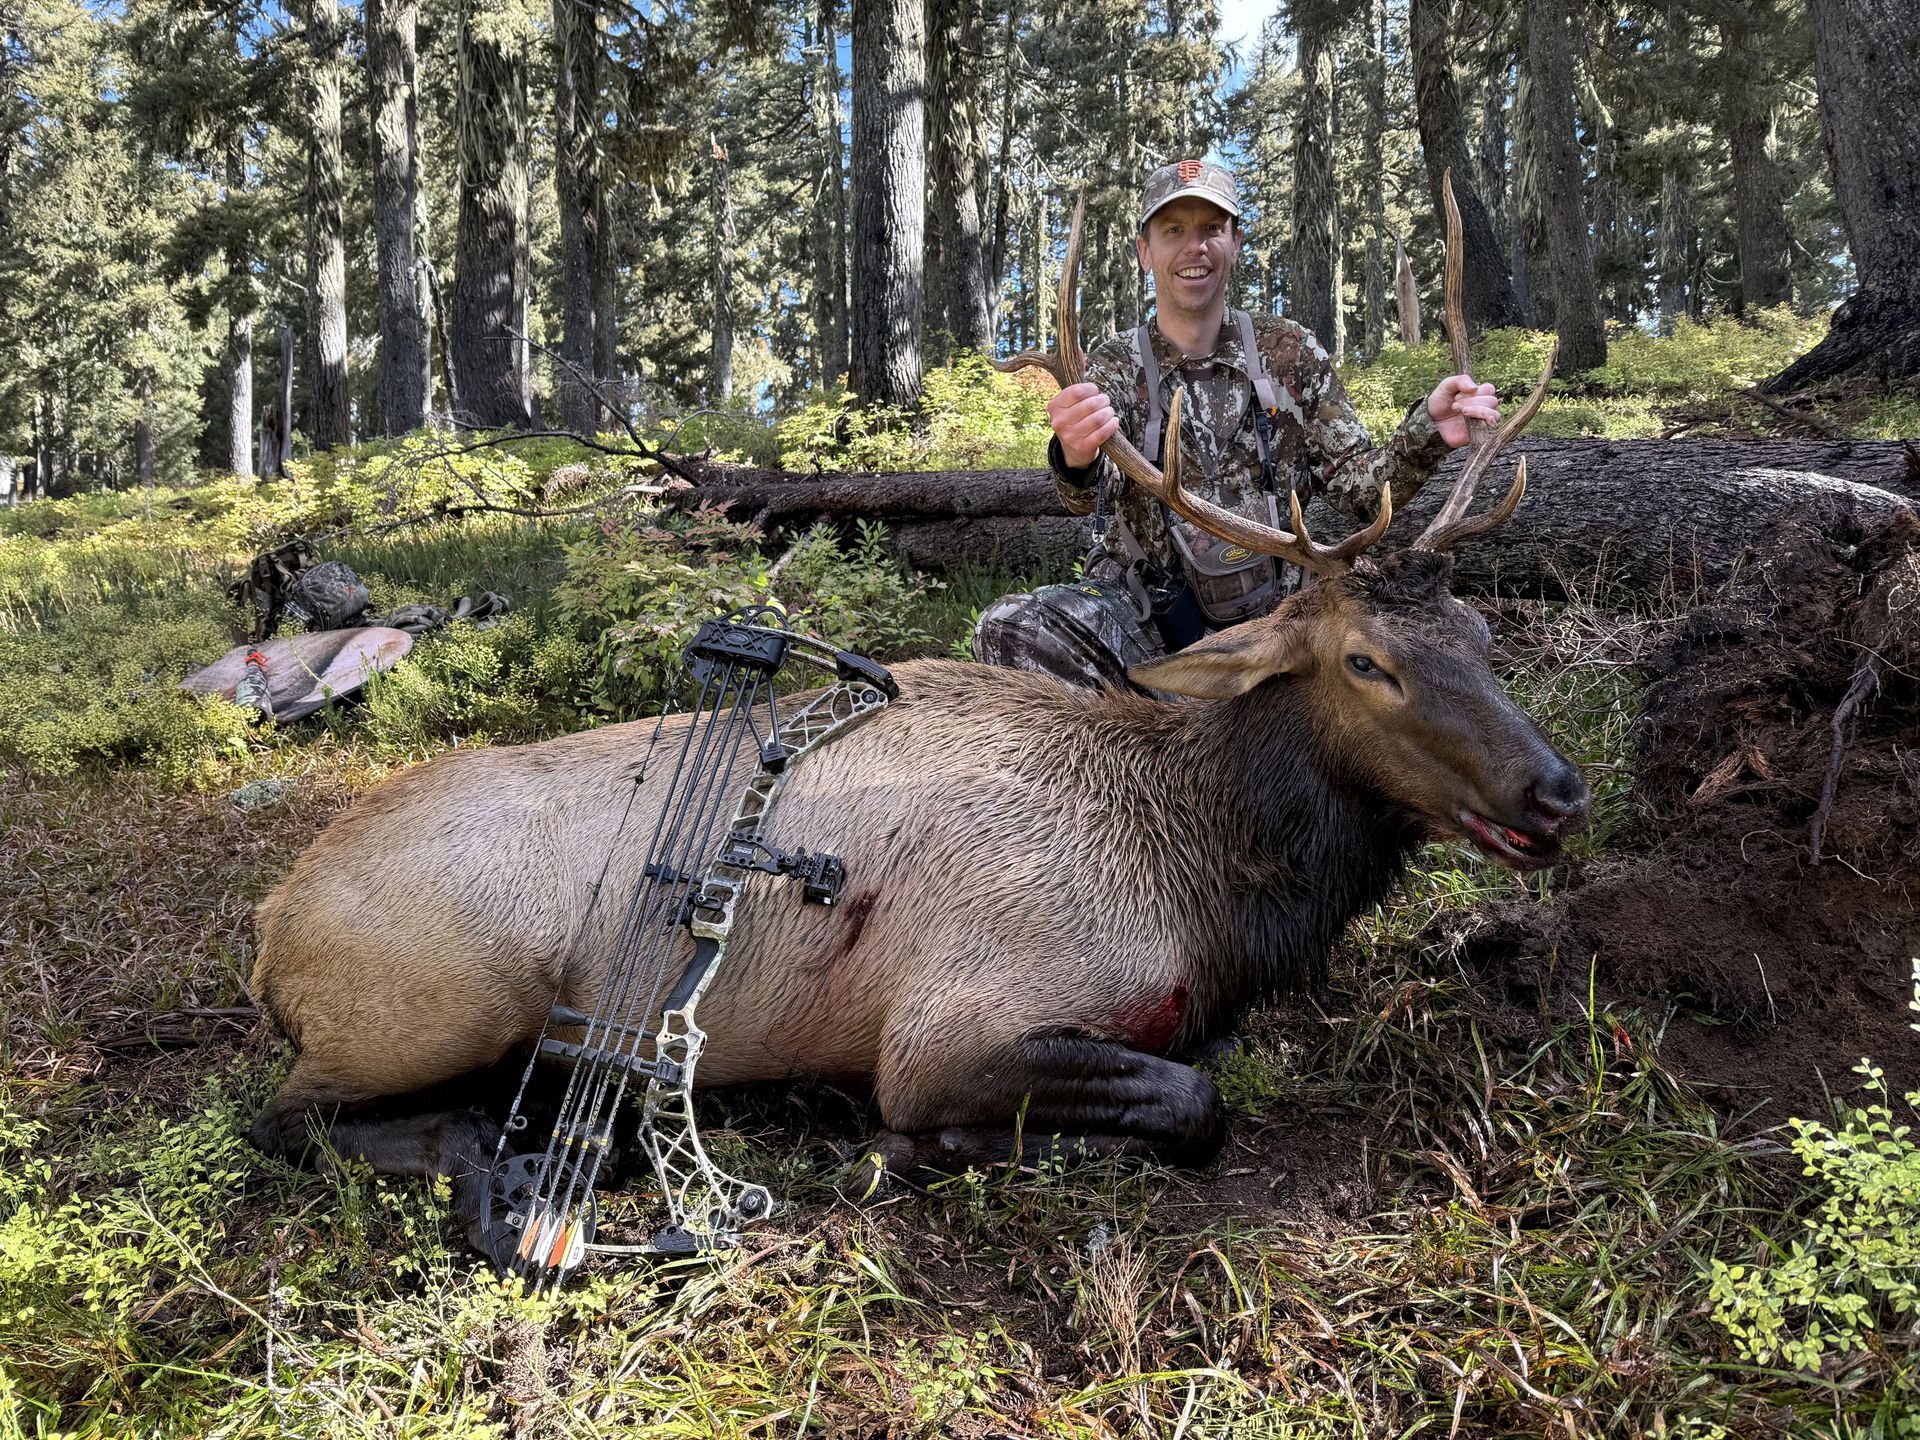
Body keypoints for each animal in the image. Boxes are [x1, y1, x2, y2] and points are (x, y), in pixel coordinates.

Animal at [245, 176, 1581, 1251]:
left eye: (1480, 636)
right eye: (1367, 662)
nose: (1557, 790)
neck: (1211, 881)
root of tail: (269, 932)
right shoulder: (949, 1028)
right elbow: (1191, 1103)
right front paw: (905, 1152)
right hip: (438, 1001)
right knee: (281, 1118)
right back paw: (498, 1151)